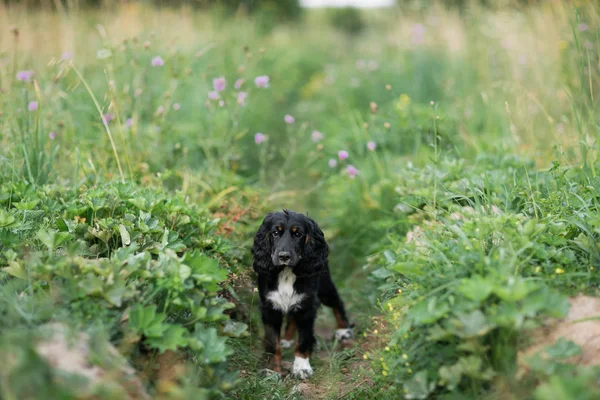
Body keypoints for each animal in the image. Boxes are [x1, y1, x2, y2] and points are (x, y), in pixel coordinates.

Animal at [252, 209, 354, 378]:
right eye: (275, 233)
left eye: (298, 234)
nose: (284, 256)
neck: (286, 272)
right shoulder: (270, 307)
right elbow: (273, 342)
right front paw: (272, 369)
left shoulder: (307, 306)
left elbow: (304, 339)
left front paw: (301, 368)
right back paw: (286, 339)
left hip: (325, 287)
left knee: (337, 302)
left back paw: (344, 330)